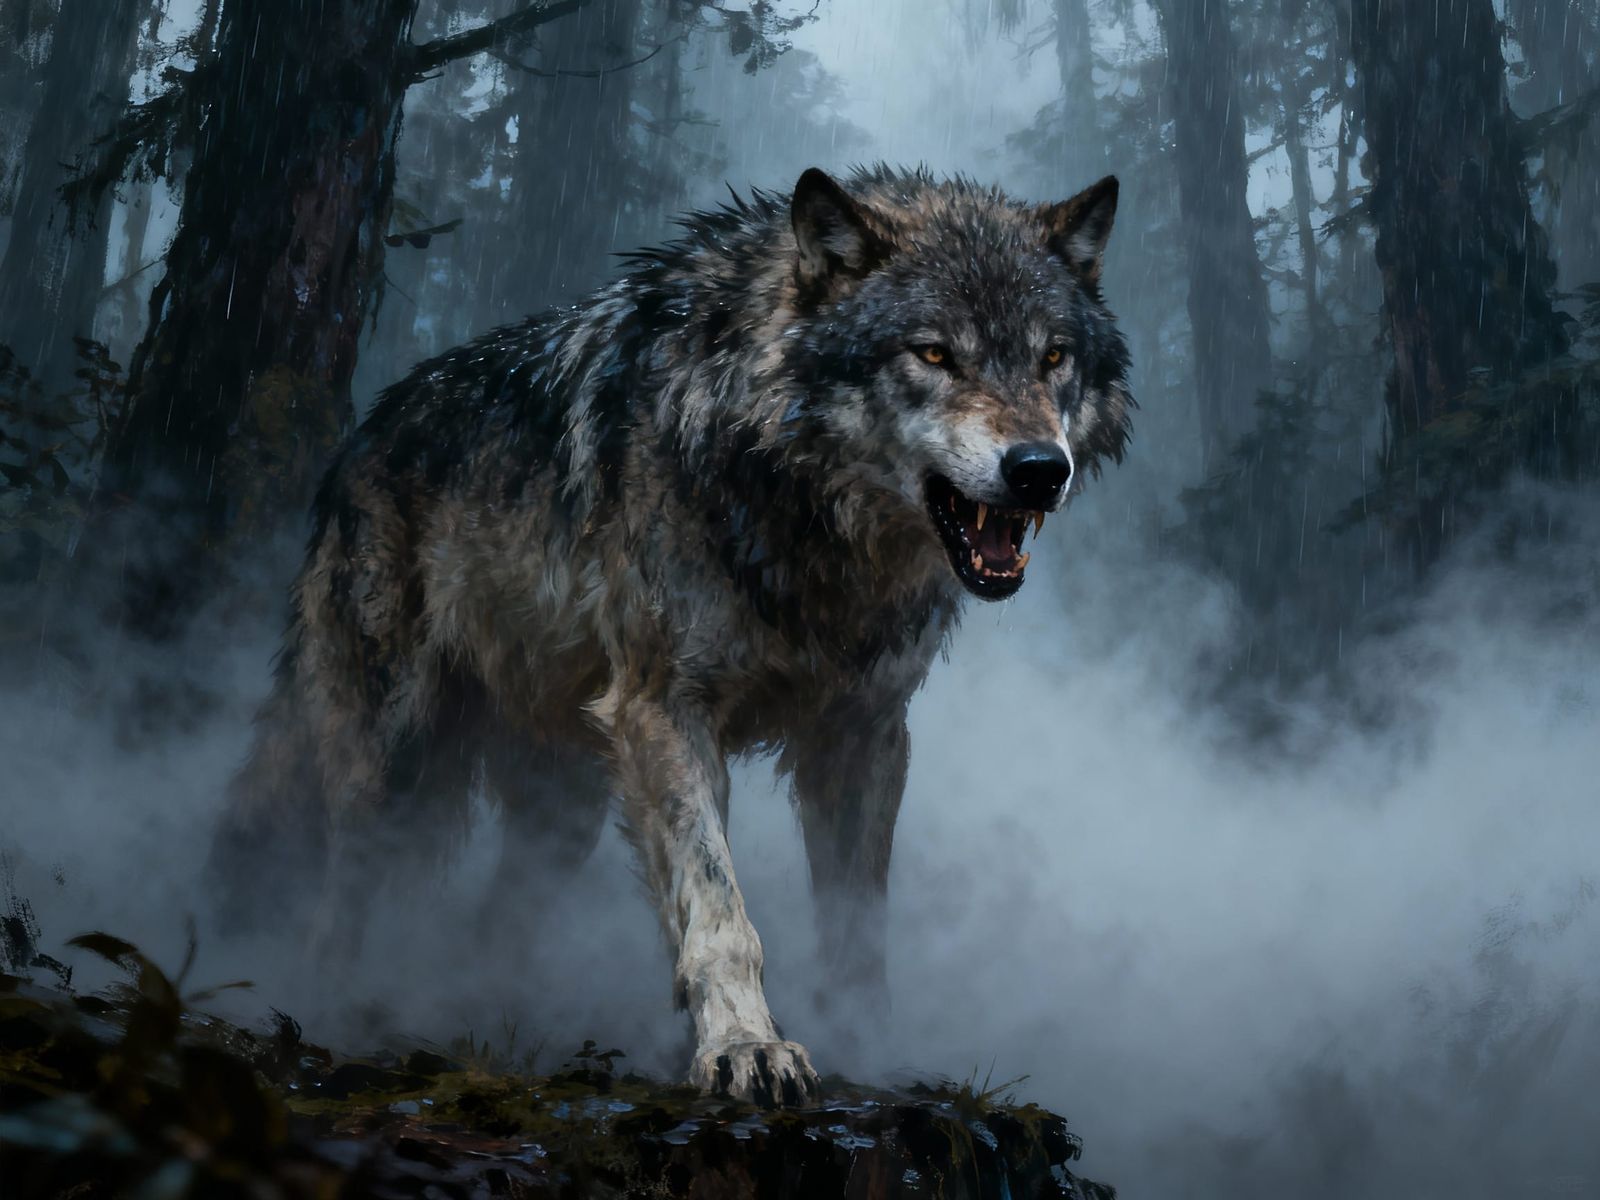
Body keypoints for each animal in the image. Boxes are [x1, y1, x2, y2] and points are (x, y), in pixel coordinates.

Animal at [214, 165, 1133, 1106]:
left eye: (1053, 356)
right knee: (341, 890)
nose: (1039, 470)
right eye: (935, 353)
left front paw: (870, 1053)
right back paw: (340, 1013)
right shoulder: (666, 709)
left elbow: (857, 926)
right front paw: (745, 1047)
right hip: (393, 753)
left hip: (562, 806)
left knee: (495, 915)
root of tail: (360, 435)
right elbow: (722, 909)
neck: (801, 521)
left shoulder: (865, 733)